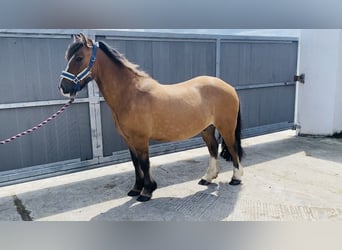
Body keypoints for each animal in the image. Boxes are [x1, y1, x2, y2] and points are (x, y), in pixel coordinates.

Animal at [60, 33, 244, 202]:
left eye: (79, 58)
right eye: (68, 57)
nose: (63, 87)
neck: (130, 95)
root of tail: (229, 87)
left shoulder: (141, 139)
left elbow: (144, 163)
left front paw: (147, 191)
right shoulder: (129, 139)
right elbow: (135, 163)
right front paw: (136, 189)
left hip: (226, 127)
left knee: (232, 148)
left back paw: (236, 178)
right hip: (207, 129)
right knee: (213, 148)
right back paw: (207, 178)